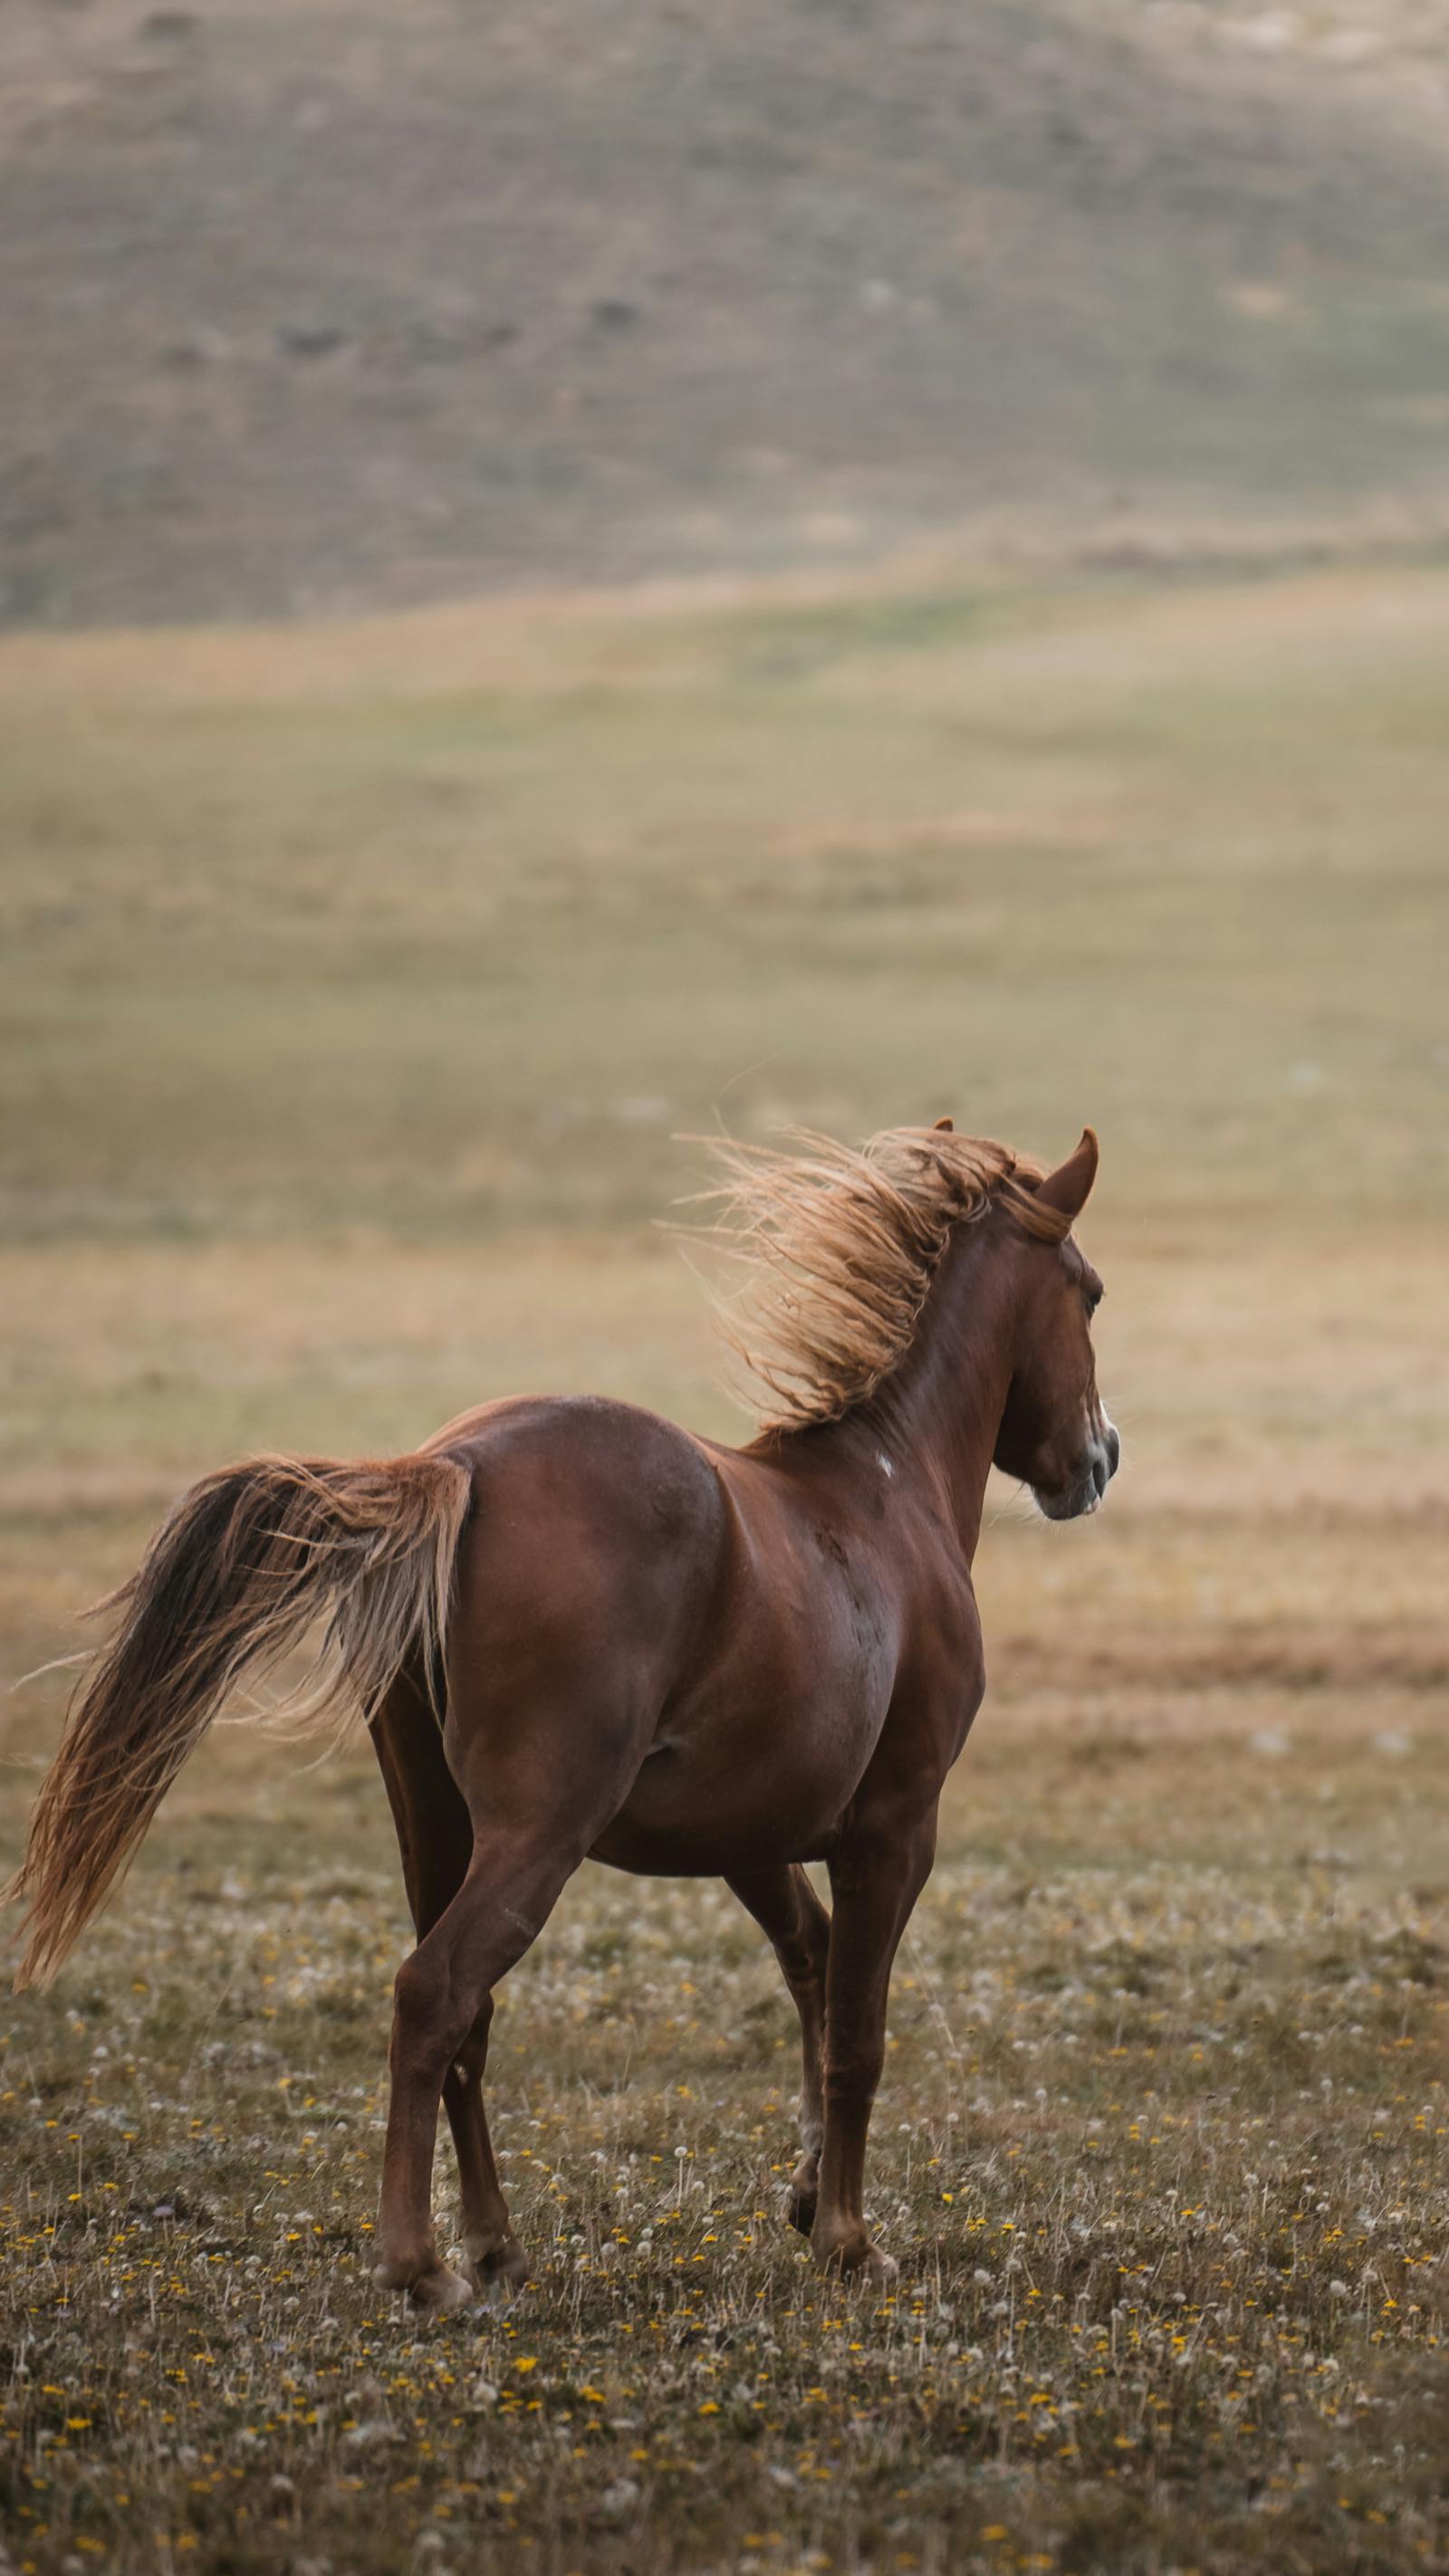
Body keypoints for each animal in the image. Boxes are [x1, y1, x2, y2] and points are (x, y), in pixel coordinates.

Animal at [5, 1117, 1118, 2308]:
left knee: (466, 2020)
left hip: (432, 1821)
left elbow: (810, 1970)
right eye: (1089, 1292)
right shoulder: (895, 1826)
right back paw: (419, 2263)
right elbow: (856, 2030)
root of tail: (452, 1463)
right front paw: (849, 2238)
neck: (884, 1489)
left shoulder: (749, 1834)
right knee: (435, 1991)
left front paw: (806, 2194)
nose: (1099, 1457)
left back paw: (494, 2242)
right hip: (540, 1829)